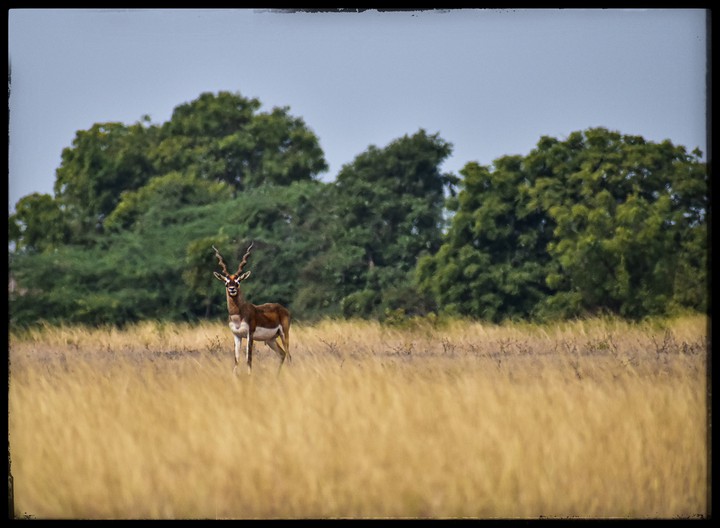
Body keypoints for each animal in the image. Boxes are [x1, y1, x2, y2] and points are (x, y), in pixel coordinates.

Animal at [212, 242, 291, 375]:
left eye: (238, 281)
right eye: (226, 283)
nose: (232, 289)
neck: (238, 315)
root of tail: (283, 308)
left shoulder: (250, 334)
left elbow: (248, 358)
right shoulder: (237, 336)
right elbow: (236, 360)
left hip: (284, 334)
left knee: (289, 355)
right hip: (270, 340)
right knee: (282, 354)